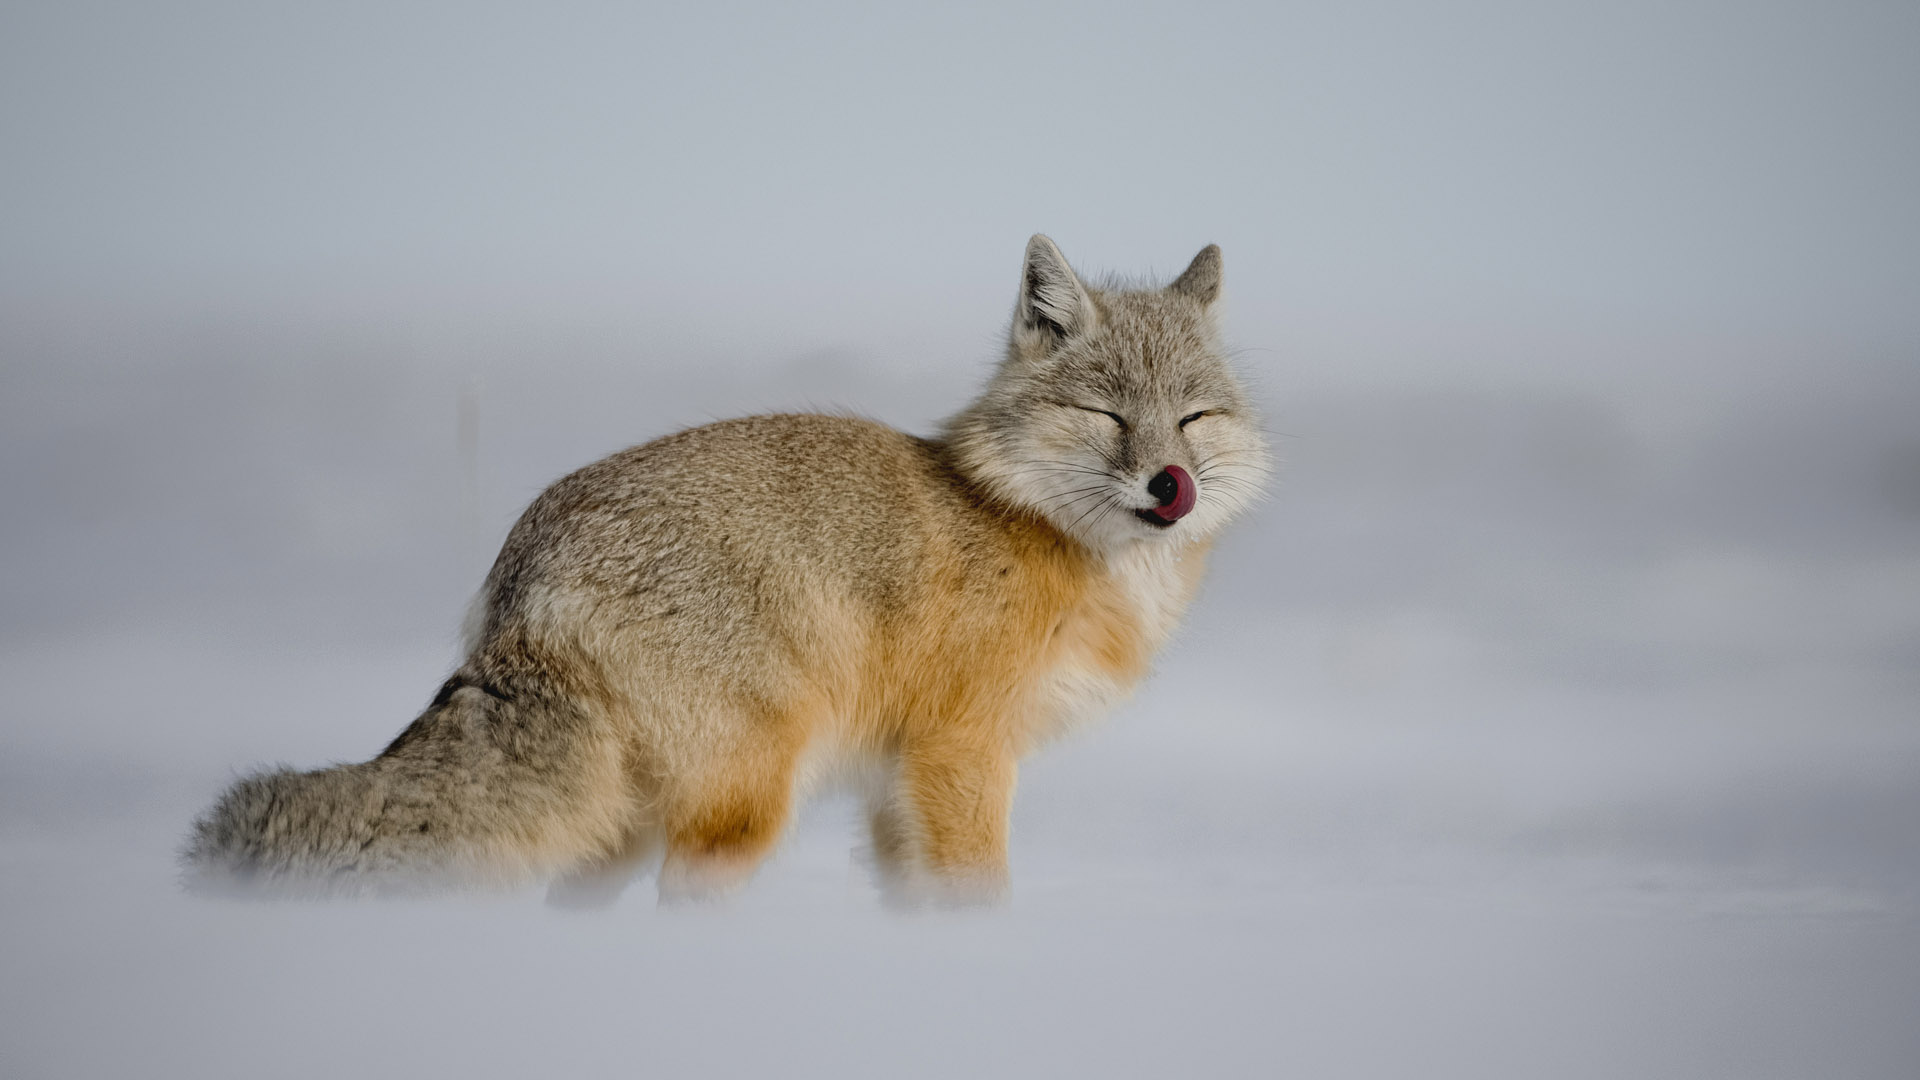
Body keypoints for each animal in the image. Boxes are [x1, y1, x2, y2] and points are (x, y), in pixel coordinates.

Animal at [187, 233, 1274, 899]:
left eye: (1192, 418)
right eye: (1107, 415)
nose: (1170, 485)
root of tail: (529, 566)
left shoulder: (896, 788)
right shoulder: (960, 757)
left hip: (623, 827)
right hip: (745, 806)